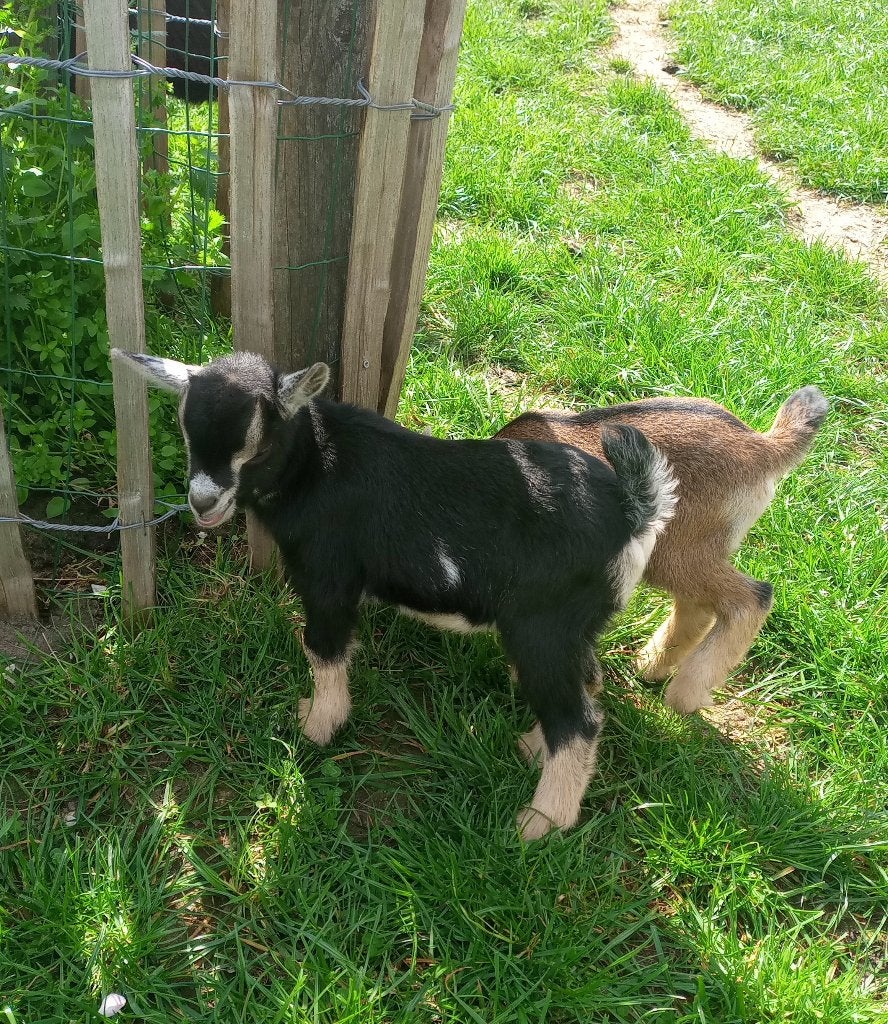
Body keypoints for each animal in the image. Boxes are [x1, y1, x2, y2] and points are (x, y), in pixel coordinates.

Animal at [112, 349, 678, 839]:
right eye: (187, 435)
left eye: (259, 448)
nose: (202, 503)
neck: (319, 466)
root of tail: (634, 509)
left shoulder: (329, 578)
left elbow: (322, 648)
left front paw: (318, 726)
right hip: (574, 628)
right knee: (587, 686)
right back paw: (533, 749)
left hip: (542, 628)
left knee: (577, 720)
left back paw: (539, 823)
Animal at [496, 387, 828, 714]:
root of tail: (762, 446)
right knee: (697, 606)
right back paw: (651, 666)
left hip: (674, 553)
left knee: (751, 597)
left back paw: (685, 694)